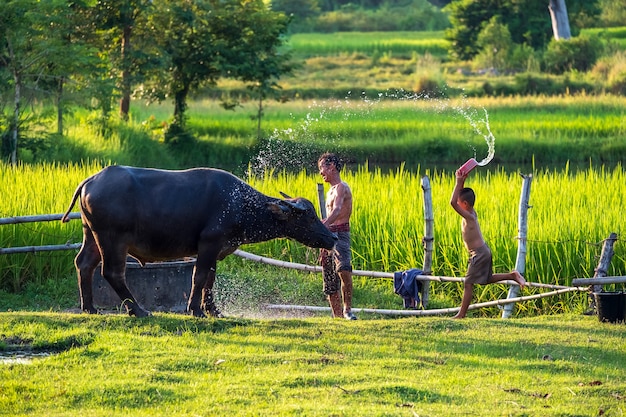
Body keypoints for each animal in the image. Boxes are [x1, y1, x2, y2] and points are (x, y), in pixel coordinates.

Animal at [61, 164, 336, 316]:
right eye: (307, 217)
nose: (332, 236)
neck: (241, 205)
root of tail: (91, 180)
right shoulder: (208, 244)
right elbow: (199, 276)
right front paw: (195, 310)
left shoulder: (217, 249)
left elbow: (210, 279)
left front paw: (213, 310)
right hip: (113, 239)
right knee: (112, 272)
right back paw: (138, 310)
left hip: (91, 234)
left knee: (84, 264)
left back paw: (90, 308)